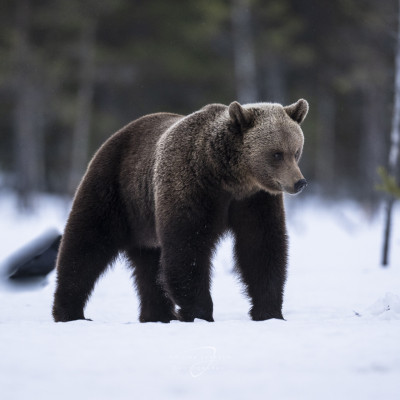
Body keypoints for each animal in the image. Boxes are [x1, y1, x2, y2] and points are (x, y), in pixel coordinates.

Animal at [52, 98, 310, 324]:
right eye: (276, 153)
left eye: (296, 151)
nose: (299, 182)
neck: (227, 177)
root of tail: (116, 135)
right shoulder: (191, 186)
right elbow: (187, 248)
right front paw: (199, 312)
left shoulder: (254, 200)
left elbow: (261, 247)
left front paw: (269, 311)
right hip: (115, 189)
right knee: (86, 243)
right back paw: (70, 312)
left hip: (145, 224)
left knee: (148, 267)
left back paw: (157, 315)